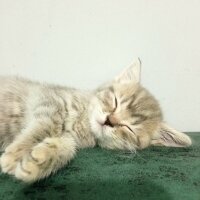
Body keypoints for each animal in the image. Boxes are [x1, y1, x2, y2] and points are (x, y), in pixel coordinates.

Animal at [0, 58, 191, 182]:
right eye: (115, 102)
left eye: (128, 128)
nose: (109, 120)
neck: (83, 122)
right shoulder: (48, 101)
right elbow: (43, 126)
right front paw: (16, 154)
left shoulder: (70, 136)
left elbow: (68, 147)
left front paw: (39, 160)